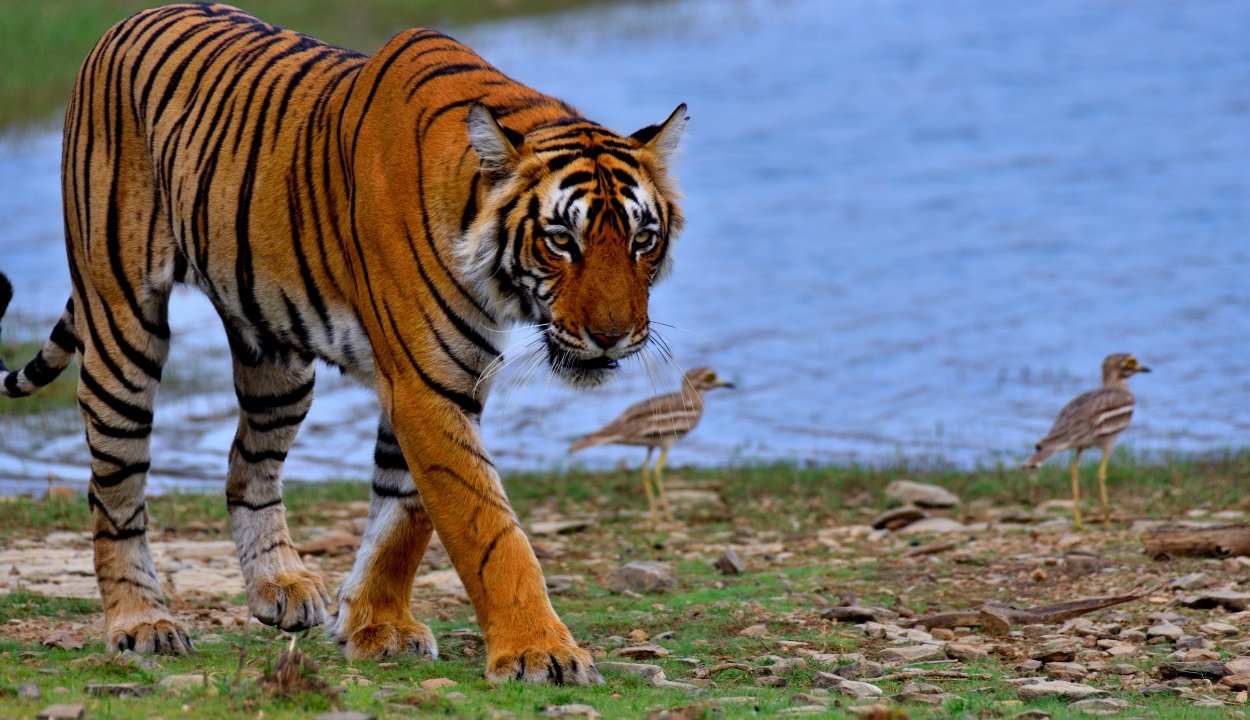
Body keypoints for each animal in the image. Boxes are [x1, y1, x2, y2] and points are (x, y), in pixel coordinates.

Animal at [0, 3, 686, 685]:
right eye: (561, 240)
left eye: (643, 240)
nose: (612, 336)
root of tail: (125, 23)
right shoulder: (425, 384)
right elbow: (486, 527)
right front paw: (539, 651)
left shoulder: (438, 379)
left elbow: (403, 514)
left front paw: (376, 627)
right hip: (121, 325)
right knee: (113, 488)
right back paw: (142, 624)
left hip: (277, 363)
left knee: (246, 465)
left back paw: (278, 586)